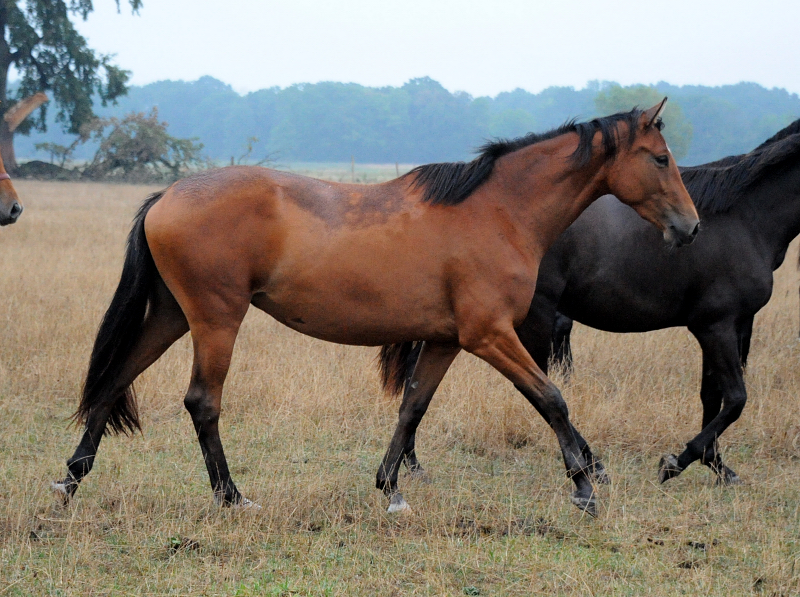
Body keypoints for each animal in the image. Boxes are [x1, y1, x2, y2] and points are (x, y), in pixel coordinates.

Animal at [53, 100, 696, 516]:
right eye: (660, 158)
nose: (690, 227)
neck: (498, 211)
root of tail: (169, 194)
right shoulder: (490, 336)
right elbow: (551, 398)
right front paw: (584, 486)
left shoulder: (446, 340)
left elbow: (412, 409)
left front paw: (391, 488)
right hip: (215, 321)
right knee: (202, 404)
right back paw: (231, 496)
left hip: (171, 316)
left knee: (115, 380)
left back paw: (72, 479)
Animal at [400, 117, 800, 494]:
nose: (689, 229)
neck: (744, 218)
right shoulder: (717, 325)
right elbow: (734, 399)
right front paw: (678, 462)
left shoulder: (725, 324)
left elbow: (711, 396)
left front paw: (714, 464)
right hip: (527, 316)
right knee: (536, 386)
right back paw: (591, 465)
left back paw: (412, 462)